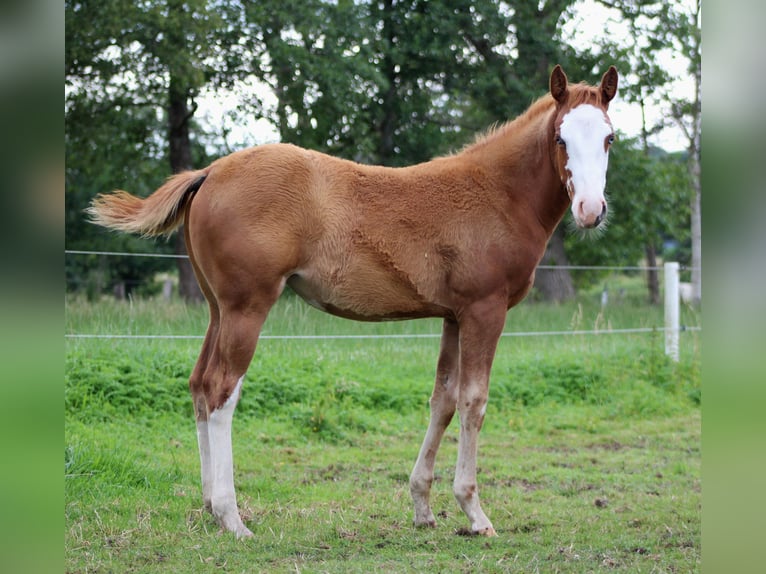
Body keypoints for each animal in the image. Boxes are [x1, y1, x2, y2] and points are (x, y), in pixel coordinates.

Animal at [88, 64, 618, 538]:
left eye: (609, 139)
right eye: (561, 139)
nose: (591, 210)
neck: (497, 193)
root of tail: (211, 170)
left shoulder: (453, 315)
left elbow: (442, 401)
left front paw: (422, 508)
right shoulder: (484, 311)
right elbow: (473, 402)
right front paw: (474, 513)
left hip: (217, 309)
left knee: (199, 385)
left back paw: (205, 507)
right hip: (246, 308)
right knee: (221, 390)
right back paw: (231, 517)